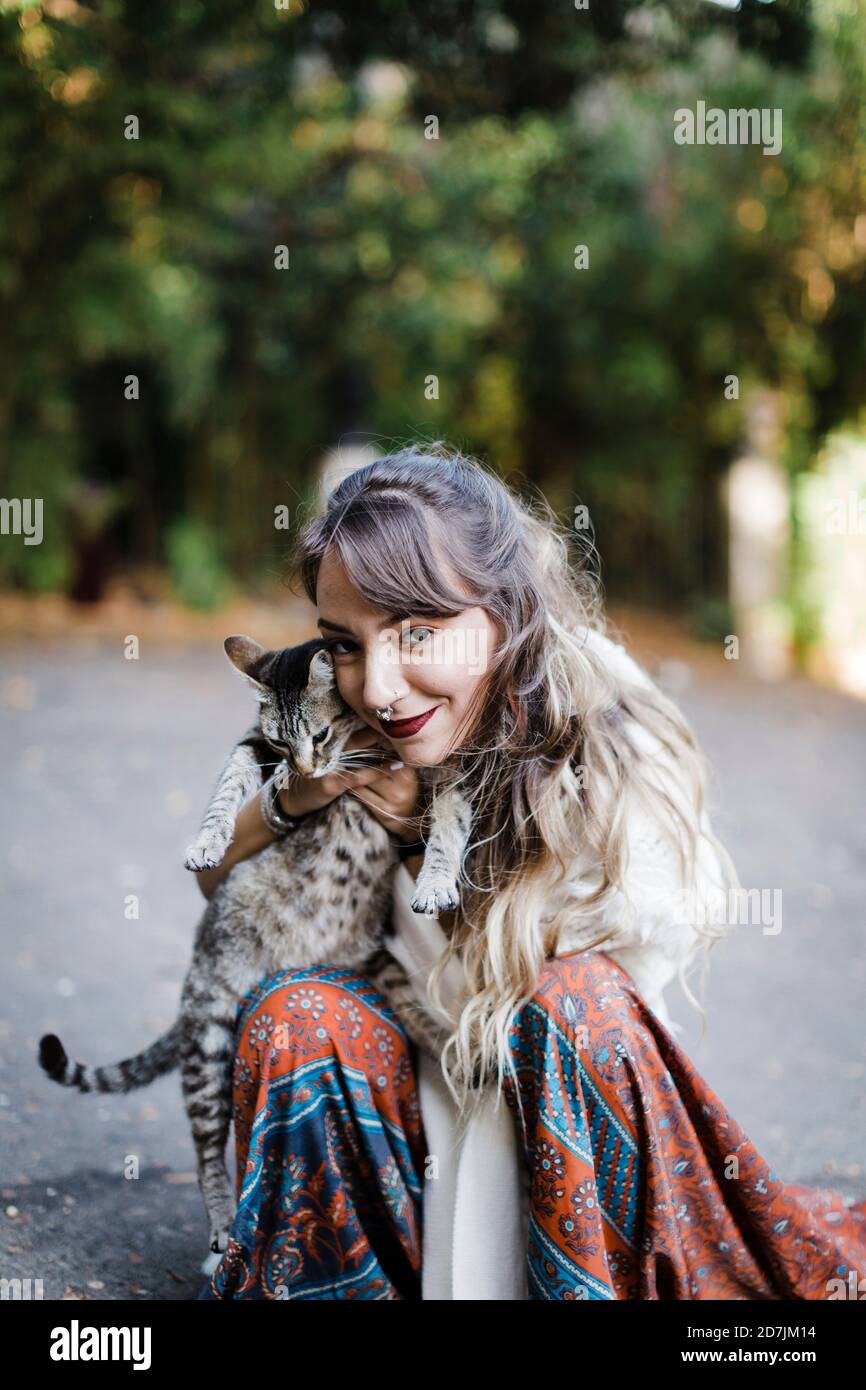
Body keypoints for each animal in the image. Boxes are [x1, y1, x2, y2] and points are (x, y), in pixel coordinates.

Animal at [38, 631, 475, 1251]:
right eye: (279, 740)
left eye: (320, 735)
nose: (305, 771)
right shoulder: (251, 743)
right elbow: (228, 782)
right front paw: (209, 839)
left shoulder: (447, 769)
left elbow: (449, 825)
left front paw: (437, 880)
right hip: (210, 1033)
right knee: (205, 1149)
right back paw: (224, 1224)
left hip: (374, 968)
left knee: (422, 1021)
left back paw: (466, 1058)